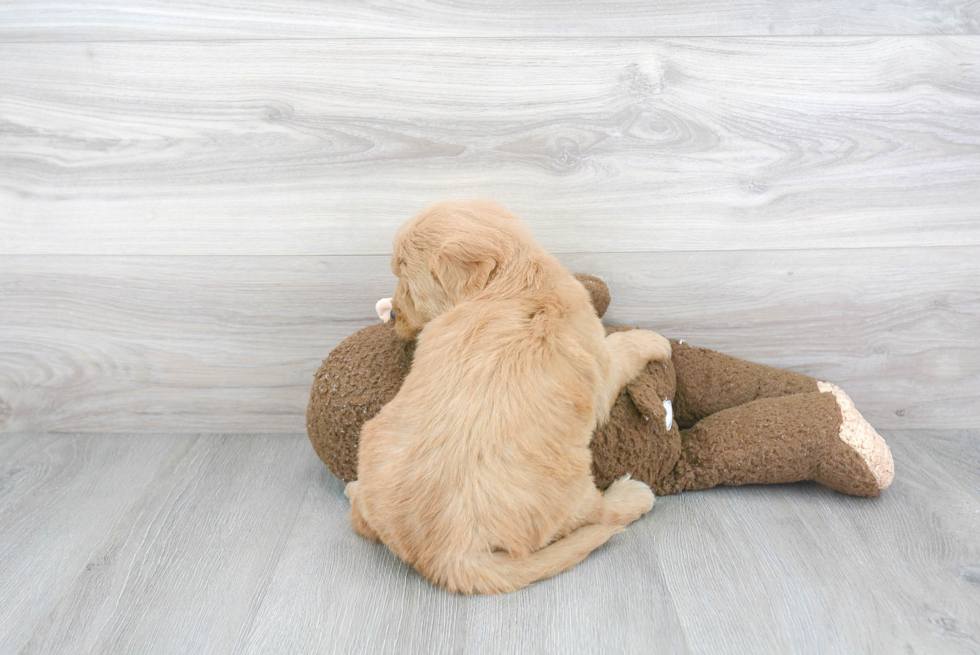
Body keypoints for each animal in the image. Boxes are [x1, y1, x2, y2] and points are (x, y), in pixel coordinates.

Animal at [346, 200, 672, 596]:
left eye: (406, 282)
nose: (391, 313)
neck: (511, 281)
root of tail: (446, 558)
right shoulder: (600, 364)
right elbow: (621, 348)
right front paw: (655, 340)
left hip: (374, 436)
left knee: (361, 519)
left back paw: (353, 490)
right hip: (568, 485)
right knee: (593, 513)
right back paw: (633, 495)